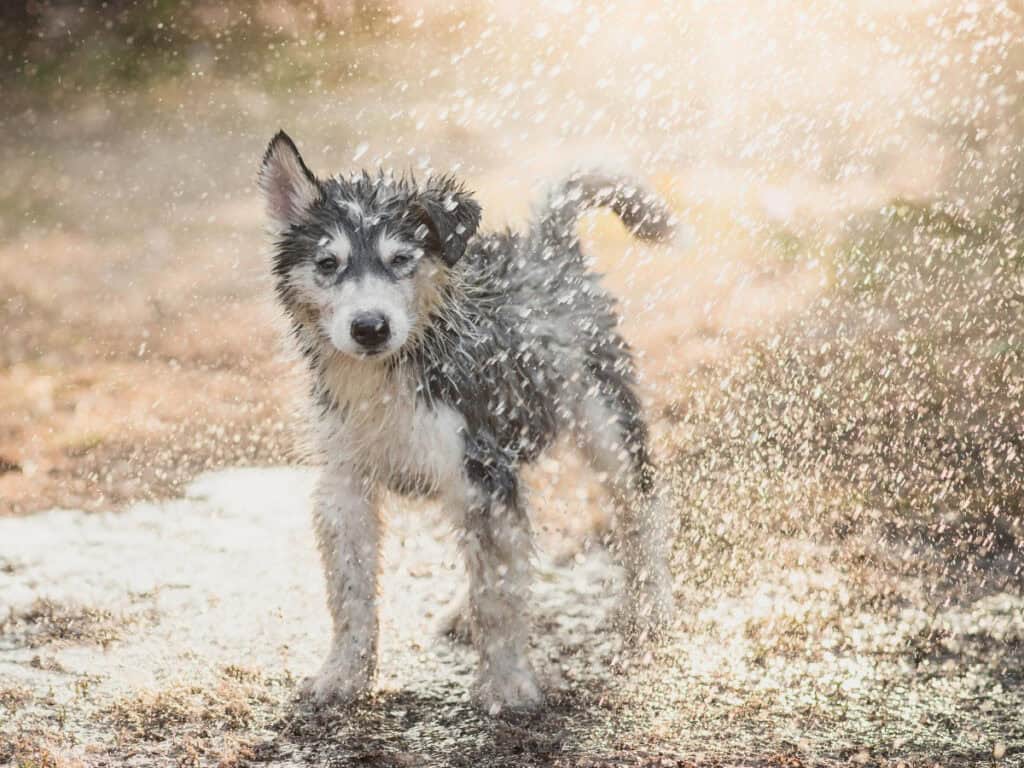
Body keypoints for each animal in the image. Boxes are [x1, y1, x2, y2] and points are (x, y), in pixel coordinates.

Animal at [256, 132, 675, 716]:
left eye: (401, 259)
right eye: (328, 262)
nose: (369, 327)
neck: (394, 373)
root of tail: (549, 249)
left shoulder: (483, 469)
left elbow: (497, 597)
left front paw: (506, 685)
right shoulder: (345, 482)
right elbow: (349, 592)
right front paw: (342, 675)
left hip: (605, 421)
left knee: (641, 508)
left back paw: (652, 605)